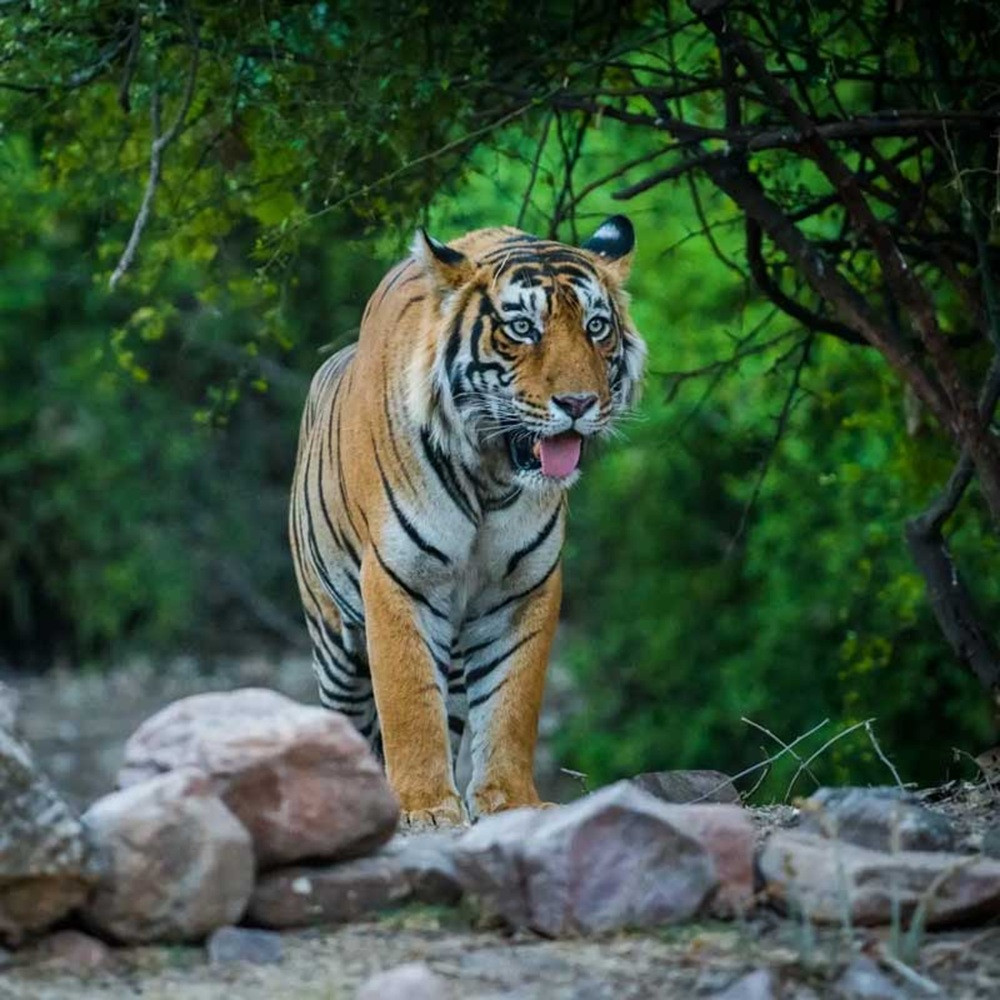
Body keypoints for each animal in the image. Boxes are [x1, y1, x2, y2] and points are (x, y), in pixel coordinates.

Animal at [289, 215, 645, 827]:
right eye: (523, 328)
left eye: (597, 327)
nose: (579, 403)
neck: (491, 478)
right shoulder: (399, 579)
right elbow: (408, 701)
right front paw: (426, 808)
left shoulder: (524, 588)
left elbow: (511, 702)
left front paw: (510, 801)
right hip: (334, 642)